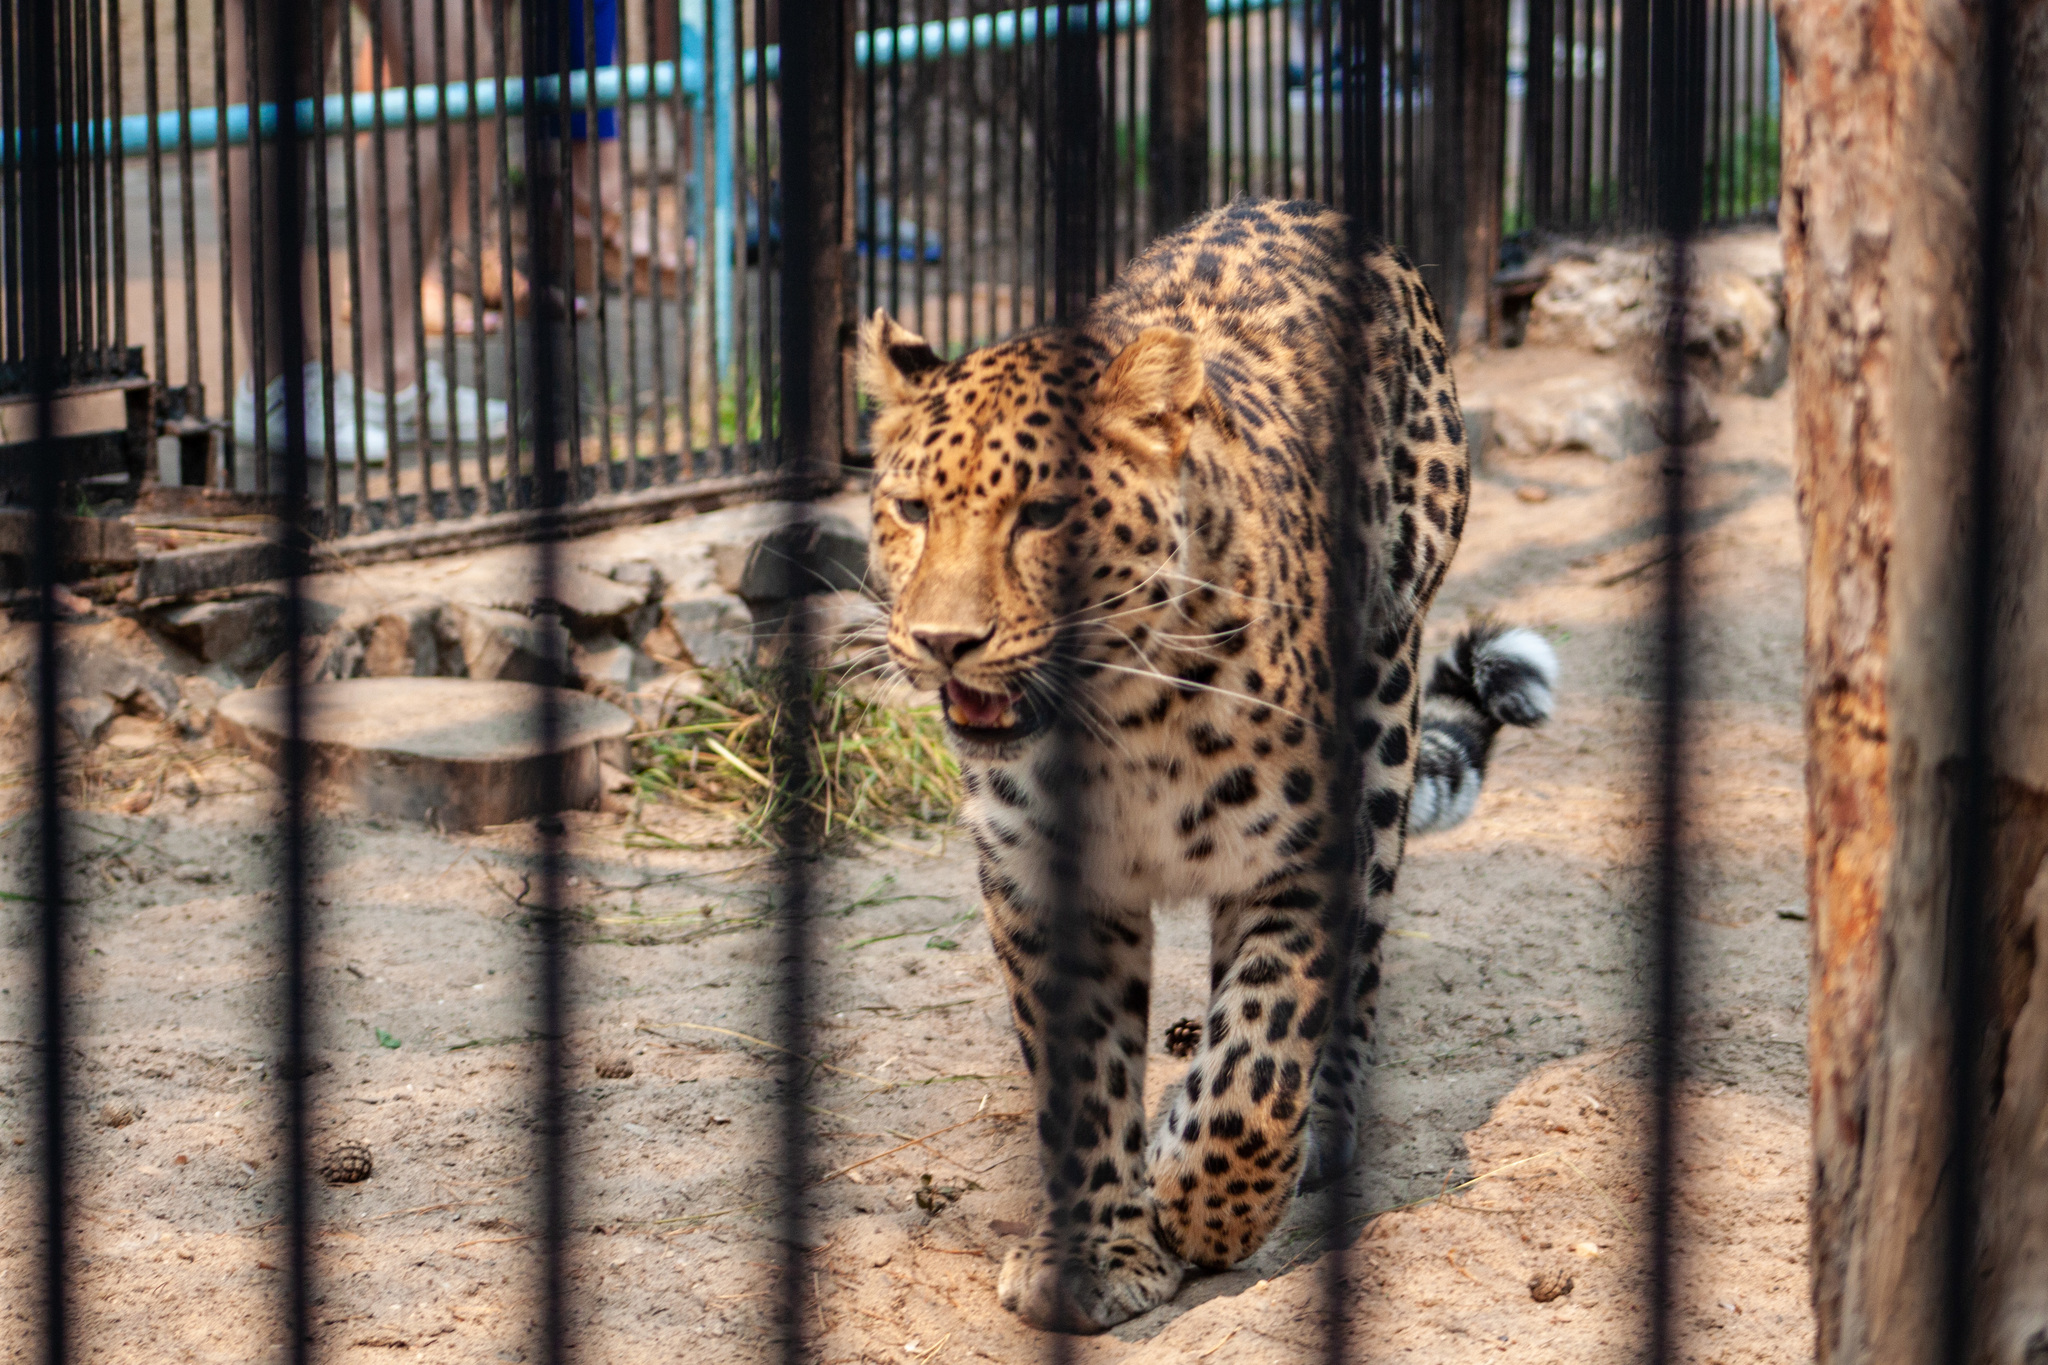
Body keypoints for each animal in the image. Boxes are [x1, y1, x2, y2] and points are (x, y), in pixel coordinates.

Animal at [860, 200, 1548, 1334]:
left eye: (1043, 515)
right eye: (913, 510)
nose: (943, 642)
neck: (1119, 723)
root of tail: (1306, 204)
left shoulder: (1299, 856)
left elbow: (1260, 1068)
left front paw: (1205, 1209)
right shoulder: (1038, 879)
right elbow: (1082, 1080)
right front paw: (1098, 1252)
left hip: (1388, 699)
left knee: (1347, 978)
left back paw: (1317, 1135)